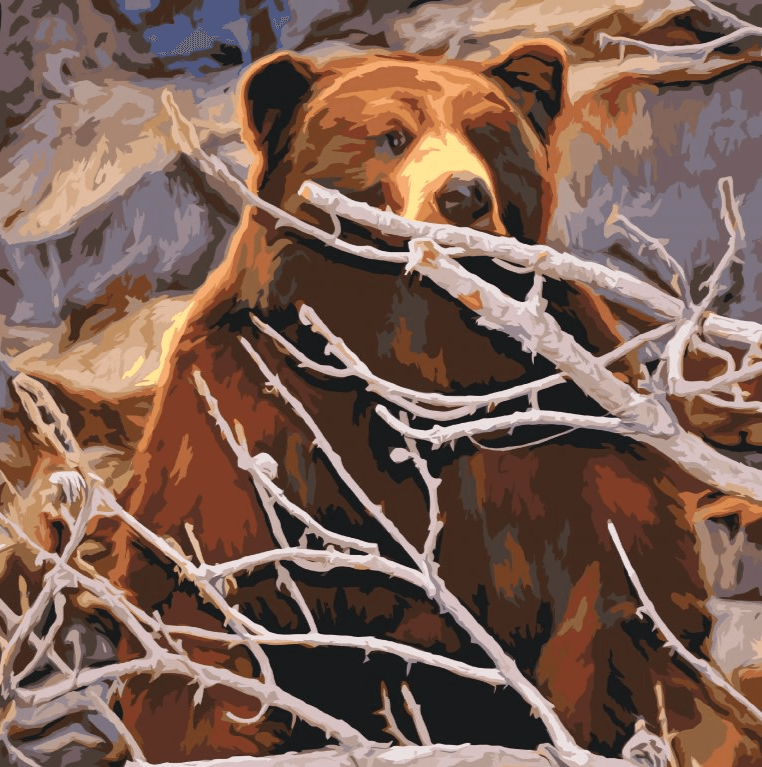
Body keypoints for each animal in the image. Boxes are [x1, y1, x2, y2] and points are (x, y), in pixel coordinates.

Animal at [82, 45, 762, 765]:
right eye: (392, 135)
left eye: (485, 133)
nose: (463, 195)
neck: (414, 338)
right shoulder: (243, 401)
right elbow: (207, 586)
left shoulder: (560, 413)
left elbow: (620, 581)